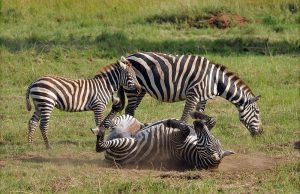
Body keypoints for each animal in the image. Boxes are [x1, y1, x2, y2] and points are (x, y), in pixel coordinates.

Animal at [92, 111, 233, 169]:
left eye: (208, 147)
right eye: (214, 139)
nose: (198, 123)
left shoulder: (177, 142)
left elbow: (185, 130)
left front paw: (170, 122)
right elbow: (212, 121)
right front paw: (195, 114)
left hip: (126, 144)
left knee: (100, 145)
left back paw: (99, 129)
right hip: (128, 120)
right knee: (116, 123)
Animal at [115, 52, 262, 136]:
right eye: (257, 113)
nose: (261, 133)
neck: (214, 80)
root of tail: (128, 57)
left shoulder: (202, 98)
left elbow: (202, 117)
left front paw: (205, 133)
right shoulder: (193, 94)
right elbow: (185, 118)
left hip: (141, 90)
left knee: (131, 109)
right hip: (132, 89)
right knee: (129, 109)